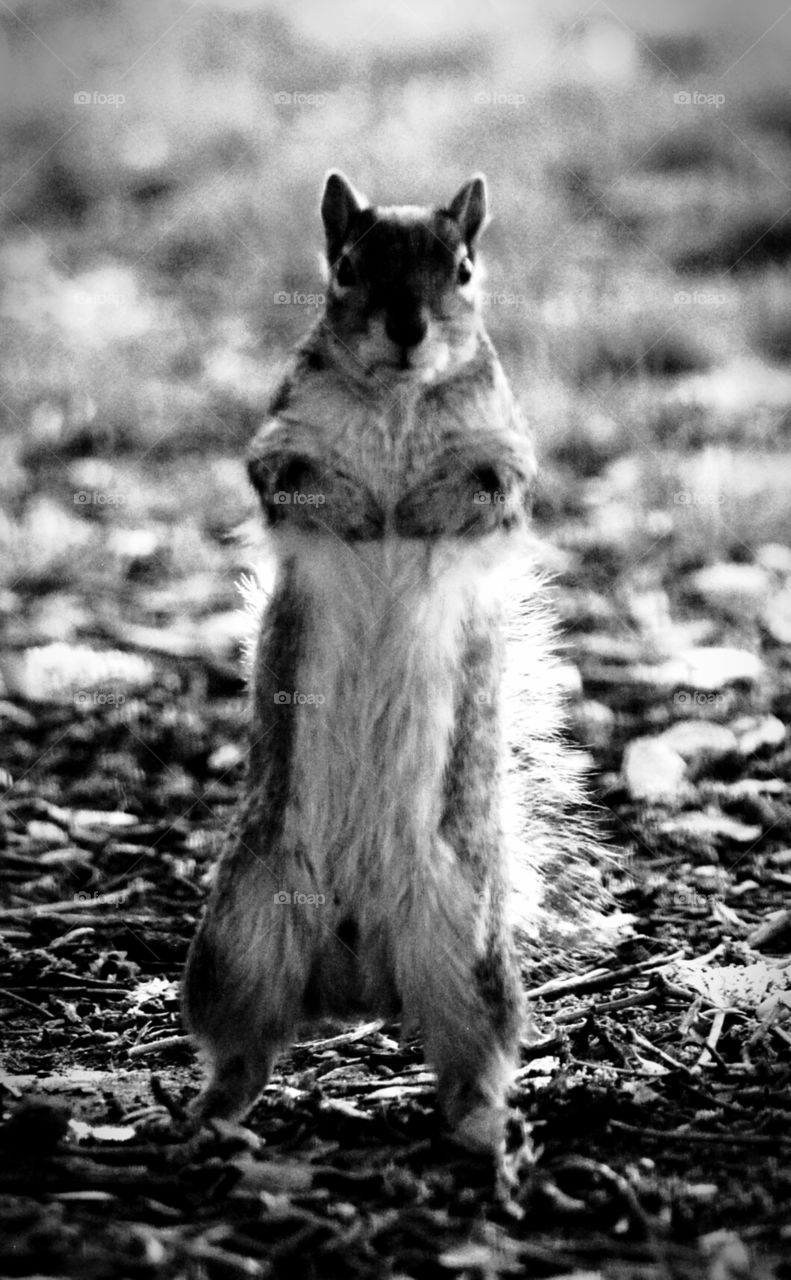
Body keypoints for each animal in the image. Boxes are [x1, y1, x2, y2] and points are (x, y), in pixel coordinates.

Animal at [182, 171, 601, 1157]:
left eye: (464, 269)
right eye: (344, 267)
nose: (406, 326)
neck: (397, 403)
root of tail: (359, 976)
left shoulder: (507, 454)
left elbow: (490, 492)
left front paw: (411, 511)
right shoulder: (278, 442)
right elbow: (286, 481)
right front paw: (358, 512)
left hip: (467, 956)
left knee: (471, 1059)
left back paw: (484, 1134)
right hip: (241, 931)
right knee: (244, 1048)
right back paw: (215, 1119)